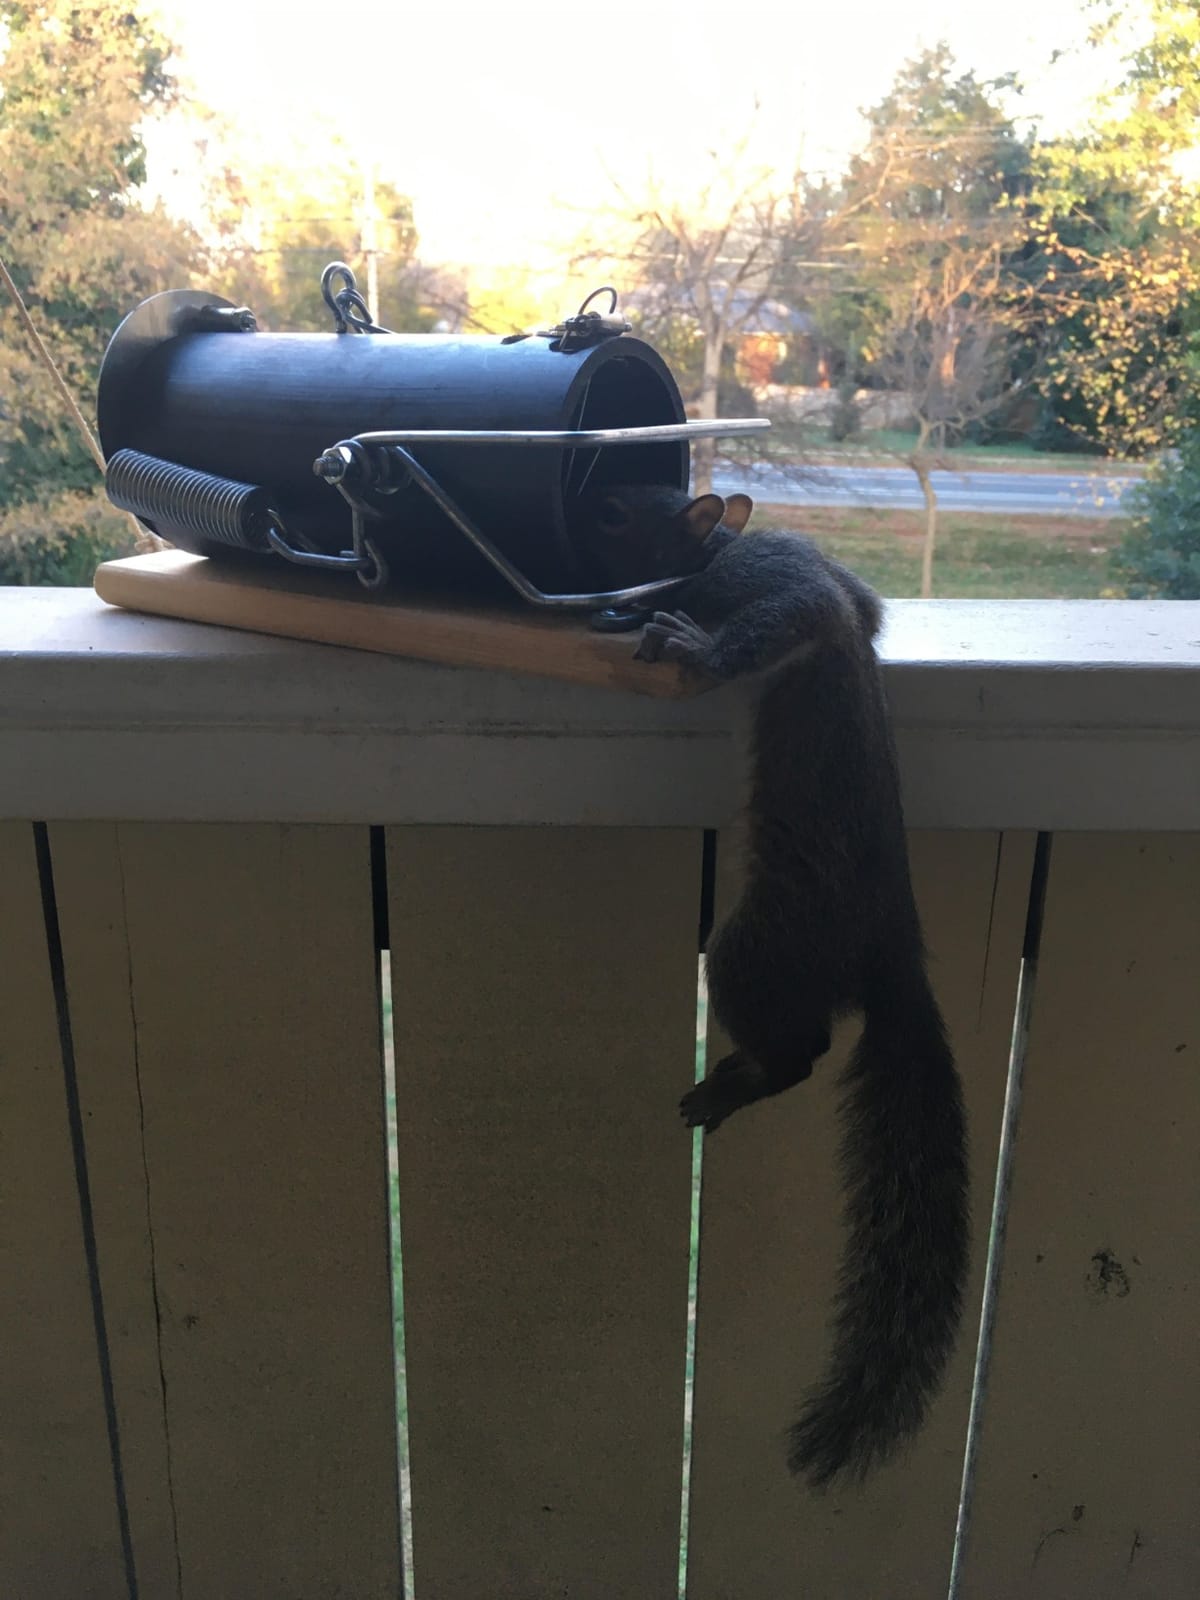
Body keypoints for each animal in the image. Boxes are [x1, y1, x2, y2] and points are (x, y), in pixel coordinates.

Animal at [574, 483, 969, 1489]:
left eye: (618, 507)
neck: (714, 553)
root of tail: (892, 957)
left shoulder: (776, 580)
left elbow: (791, 615)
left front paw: (680, 637)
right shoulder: (841, 585)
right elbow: (860, 606)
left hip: (761, 946)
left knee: (806, 1050)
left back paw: (739, 1082)